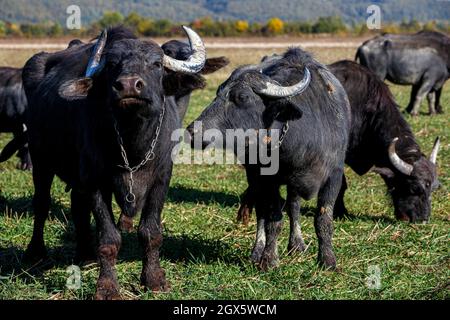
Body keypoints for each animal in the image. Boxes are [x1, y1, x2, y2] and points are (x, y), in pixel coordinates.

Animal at [22, 26, 207, 298]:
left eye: (156, 64)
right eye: (111, 65)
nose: (129, 85)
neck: (133, 144)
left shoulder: (161, 179)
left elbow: (151, 232)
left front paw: (154, 279)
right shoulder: (96, 182)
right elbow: (109, 238)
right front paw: (107, 286)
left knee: (78, 207)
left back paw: (85, 253)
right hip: (40, 159)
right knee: (41, 204)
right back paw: (35, 252)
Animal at [188, 48, 350, 270]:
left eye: (242, 97)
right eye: (218, 93)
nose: (192, 131)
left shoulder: (333, 176)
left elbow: (323, 219)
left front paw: (328, 260)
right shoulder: (268, 180)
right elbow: (273, 219)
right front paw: (269, 259)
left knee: (293, 205)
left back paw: (297, 244)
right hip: (255, 177)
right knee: (261, 211)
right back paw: (257, 251)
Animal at [237, 60, 442, 225]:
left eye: (433, 188)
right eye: (414, 187)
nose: (422, 219)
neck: (365, 111)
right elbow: (342, 185)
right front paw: (340, 211)